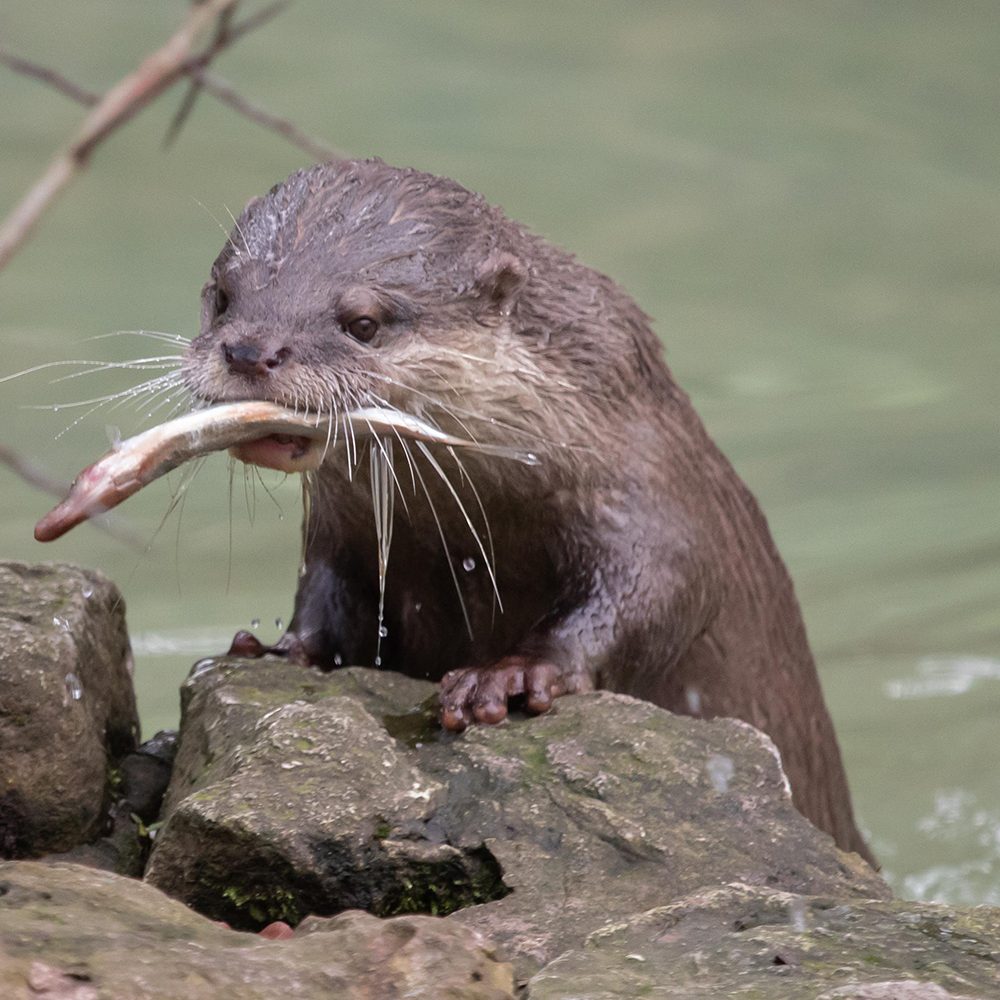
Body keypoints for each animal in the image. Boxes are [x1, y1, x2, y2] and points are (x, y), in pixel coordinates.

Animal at [184, 160, 872, 864]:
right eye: (224, 296)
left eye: (364, 322)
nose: (250, 352)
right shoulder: (341, 527)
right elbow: (327, 589)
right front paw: (278, 653)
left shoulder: (651, 489)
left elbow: (667, 586)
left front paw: (508, 676)